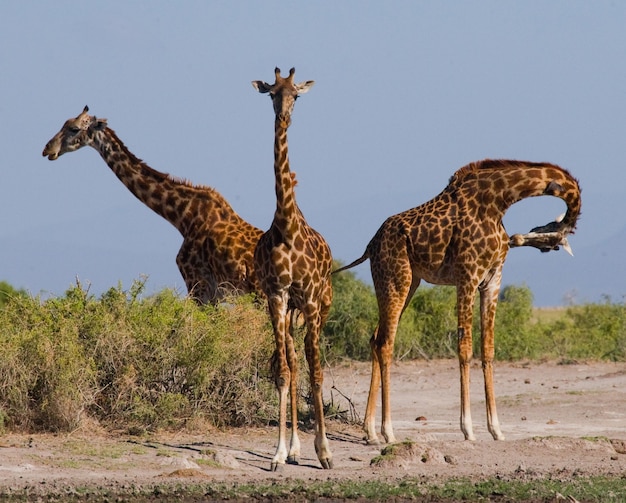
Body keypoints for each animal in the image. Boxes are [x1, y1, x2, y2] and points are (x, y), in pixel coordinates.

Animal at [334, 160, 584, 444]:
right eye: (560, 231)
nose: (521, 239)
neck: (497, 202)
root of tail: (371, 245)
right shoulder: (467, 277)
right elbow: (465, 347)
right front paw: (468, 429)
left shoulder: (492, 280)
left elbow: (488, 349)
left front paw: (496, 429)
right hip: (395, 278)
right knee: (386, 342)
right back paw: (388, 431)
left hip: (409, 283)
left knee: (376, 338)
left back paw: (371, 431)